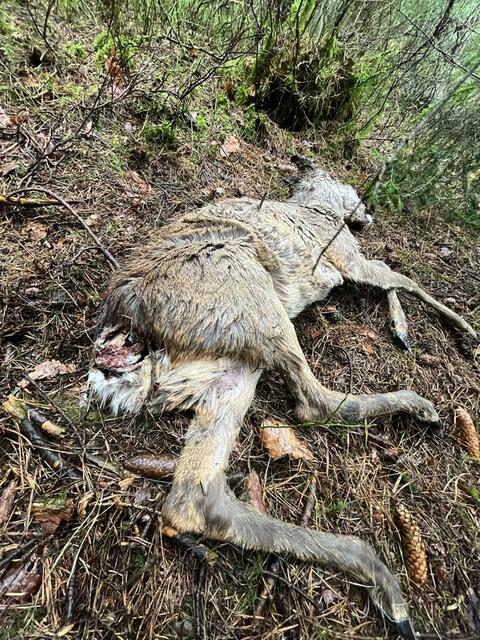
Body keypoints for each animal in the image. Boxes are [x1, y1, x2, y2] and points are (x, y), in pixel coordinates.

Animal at [89, 156, 477, 639]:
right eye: (347, 186)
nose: (367, 212)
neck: (318, 208)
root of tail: (131, 328)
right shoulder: (347, 254)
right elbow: (402, 278)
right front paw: (461, 327)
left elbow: (392, 280)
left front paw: (403, 329)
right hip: (252, 297)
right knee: (315, 403)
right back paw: (418, 412)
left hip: (230, 364)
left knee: (194, 497)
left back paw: (377, 576)